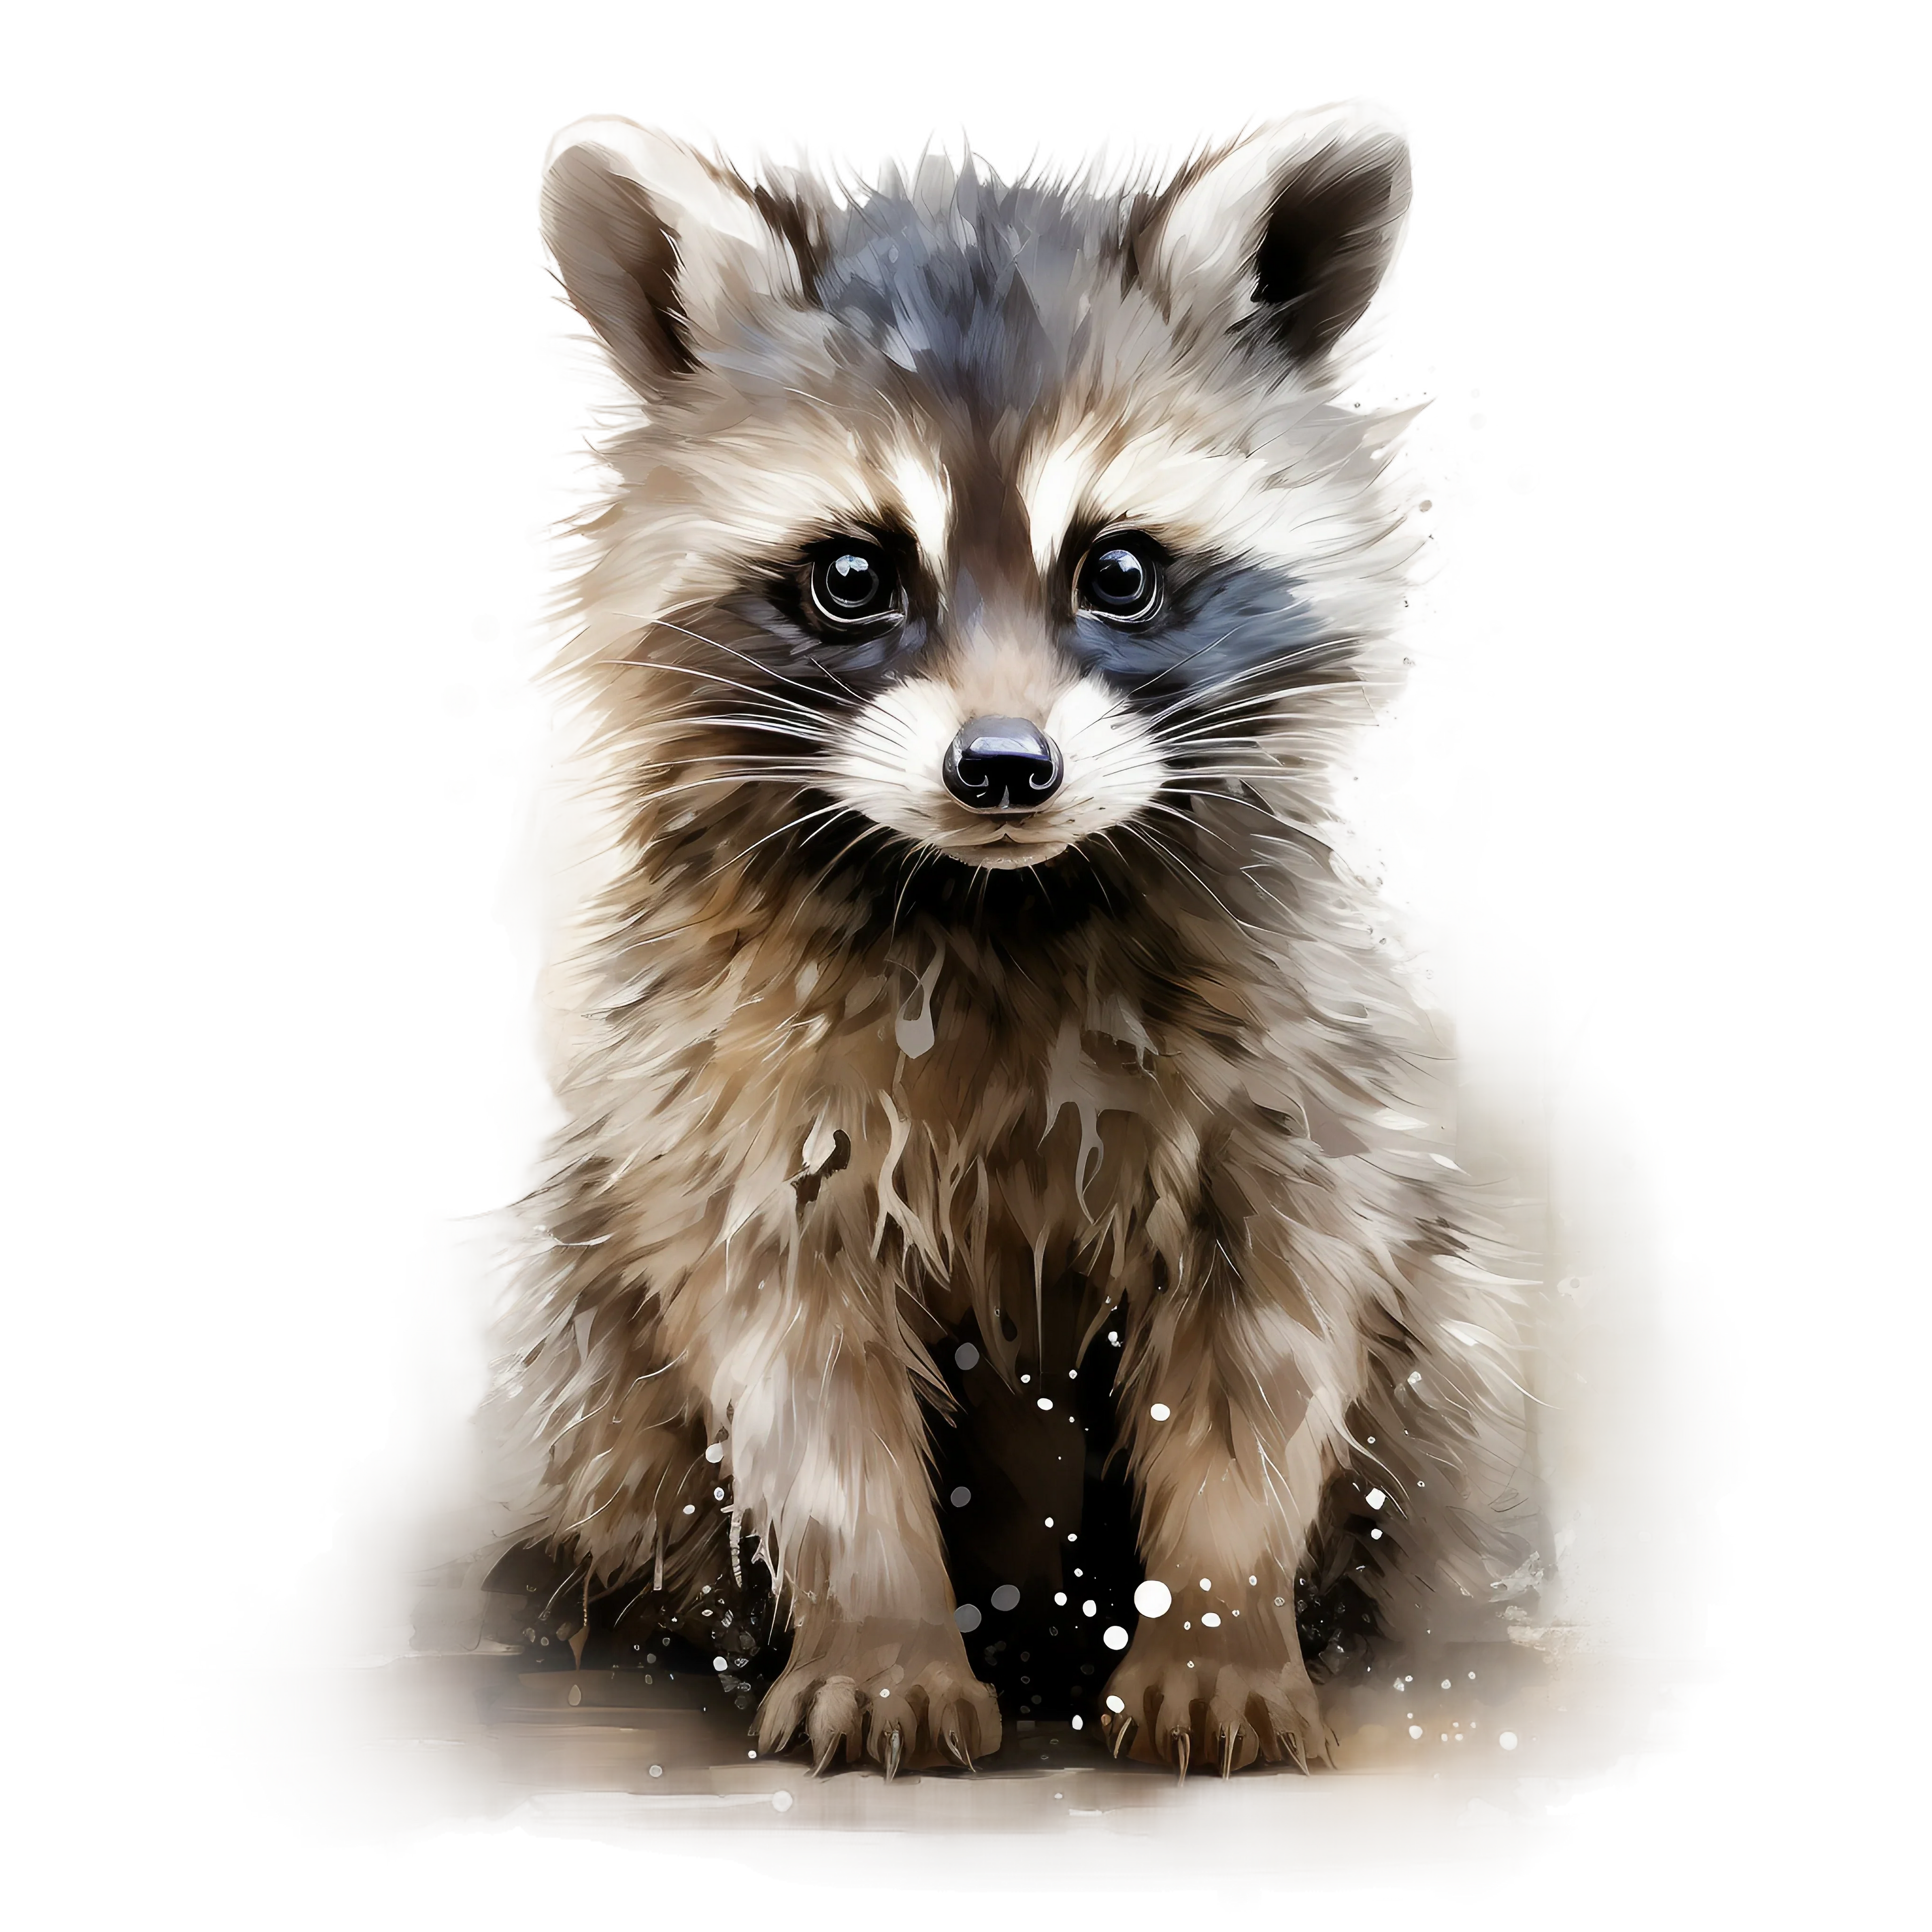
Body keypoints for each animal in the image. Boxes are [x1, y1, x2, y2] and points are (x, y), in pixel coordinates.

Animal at [481, 99, 1532, 1782]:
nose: (1001, 768)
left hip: (1435, 1321)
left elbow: (1262, 1356)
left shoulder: (1291, 1077)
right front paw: (880, 1633)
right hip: (598, 1309)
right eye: (853, 575)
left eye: (1119, 569)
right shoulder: (738, 1093)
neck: (994, 895)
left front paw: (1218, 1627)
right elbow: (800, 1375)